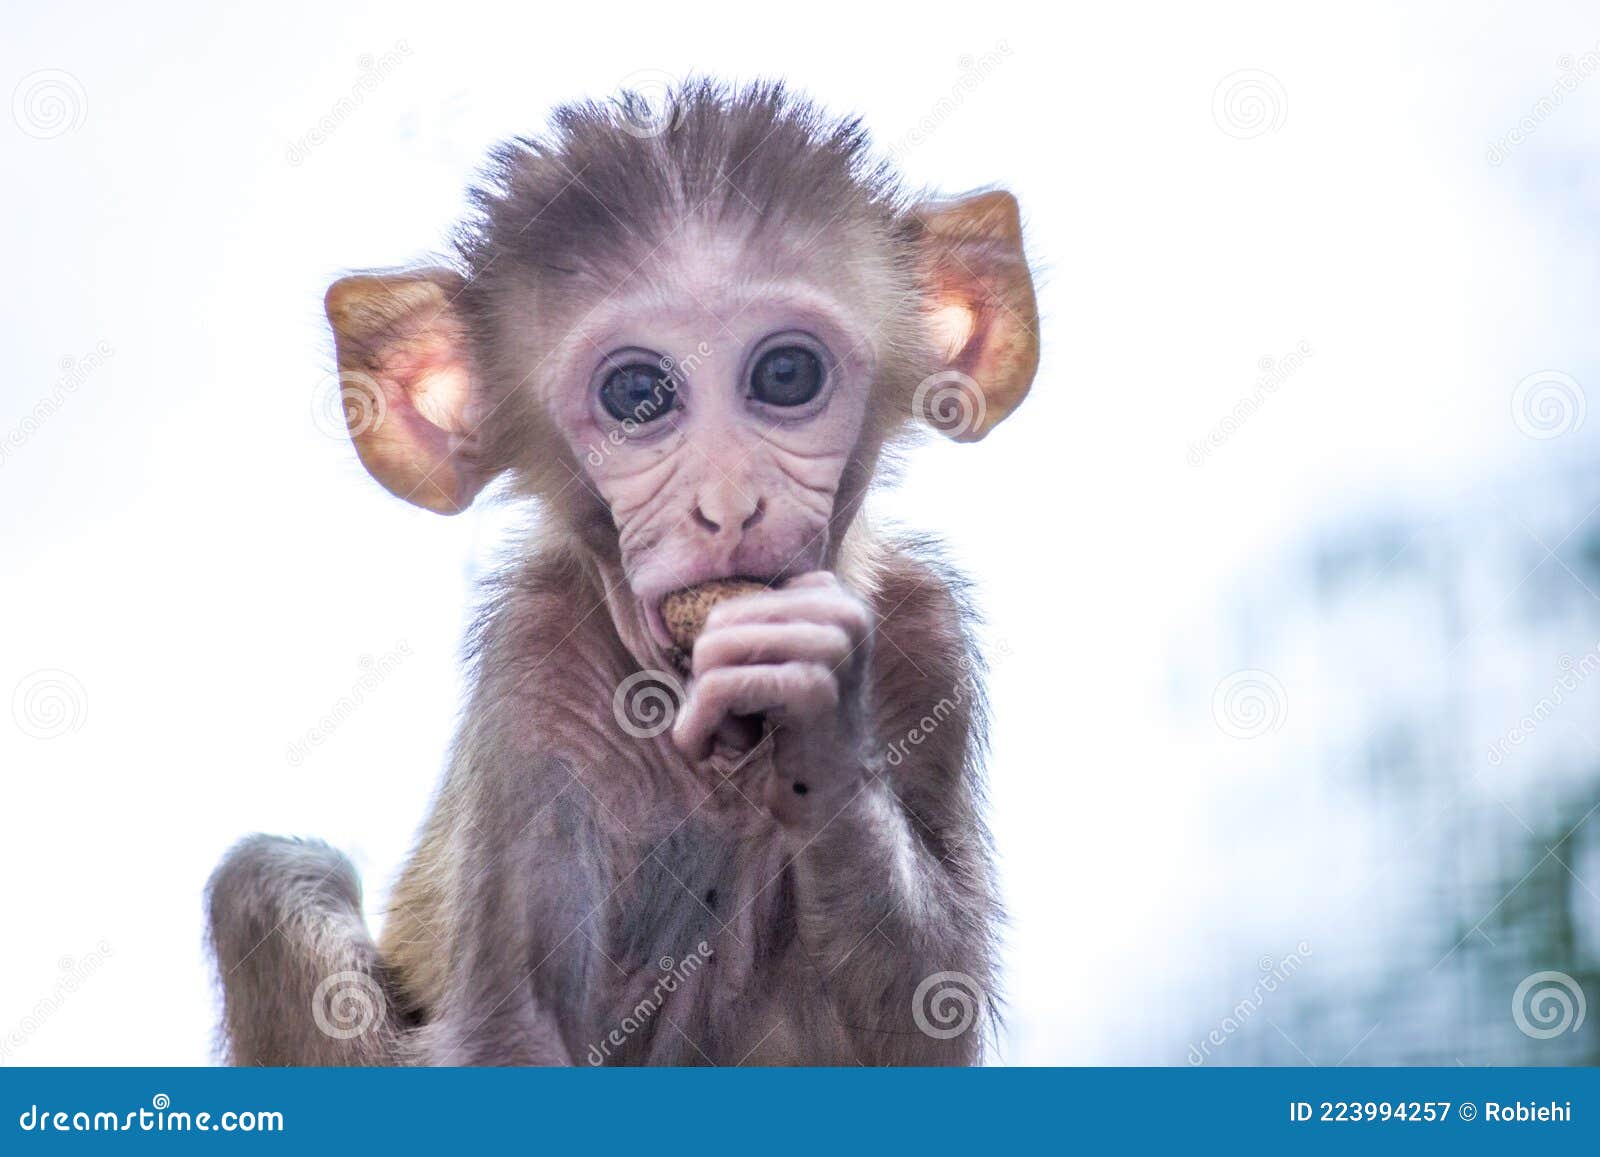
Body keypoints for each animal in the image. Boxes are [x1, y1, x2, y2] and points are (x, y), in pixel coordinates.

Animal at [209, 76, 1036, 1062]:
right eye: (638, 394)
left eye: (786, 374)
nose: (728, 502)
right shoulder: (536, 660)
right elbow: (517, 1029)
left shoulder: (926, 635)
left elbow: (927, 1015)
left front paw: (820, 720)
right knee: (268, 876)